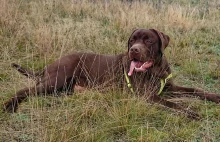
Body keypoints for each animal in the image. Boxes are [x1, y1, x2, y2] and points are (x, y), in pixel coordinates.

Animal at [2, 28, 219, 119]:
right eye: (132, 40)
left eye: (148, 40)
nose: (134, 50)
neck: (154, 70)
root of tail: (50, 64)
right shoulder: (146, 97)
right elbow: (171, 104)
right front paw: (190, 111)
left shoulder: (168, 87)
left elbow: (194, 89)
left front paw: (214, 97)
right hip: (56, 79)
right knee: (25, 90)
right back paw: (9, 106)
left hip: (62, 86)